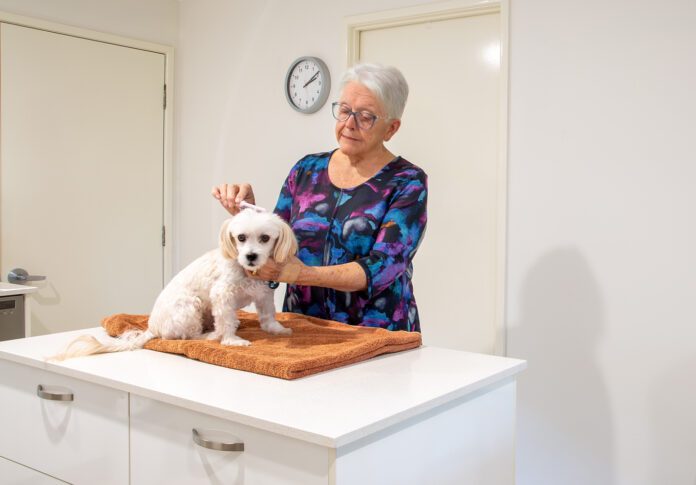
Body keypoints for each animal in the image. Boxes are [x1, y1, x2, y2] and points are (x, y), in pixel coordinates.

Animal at [51, 208, 296, 360]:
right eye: (241, 238)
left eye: (265, 238)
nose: (251, 256)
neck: (247, 272)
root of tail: (152, 327)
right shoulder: (222, 295)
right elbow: (226, 320)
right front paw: (232, 340)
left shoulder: (264, 294)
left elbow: (268, 316)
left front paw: (277, 329)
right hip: (190, 305)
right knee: (187, 336)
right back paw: (210, 336)